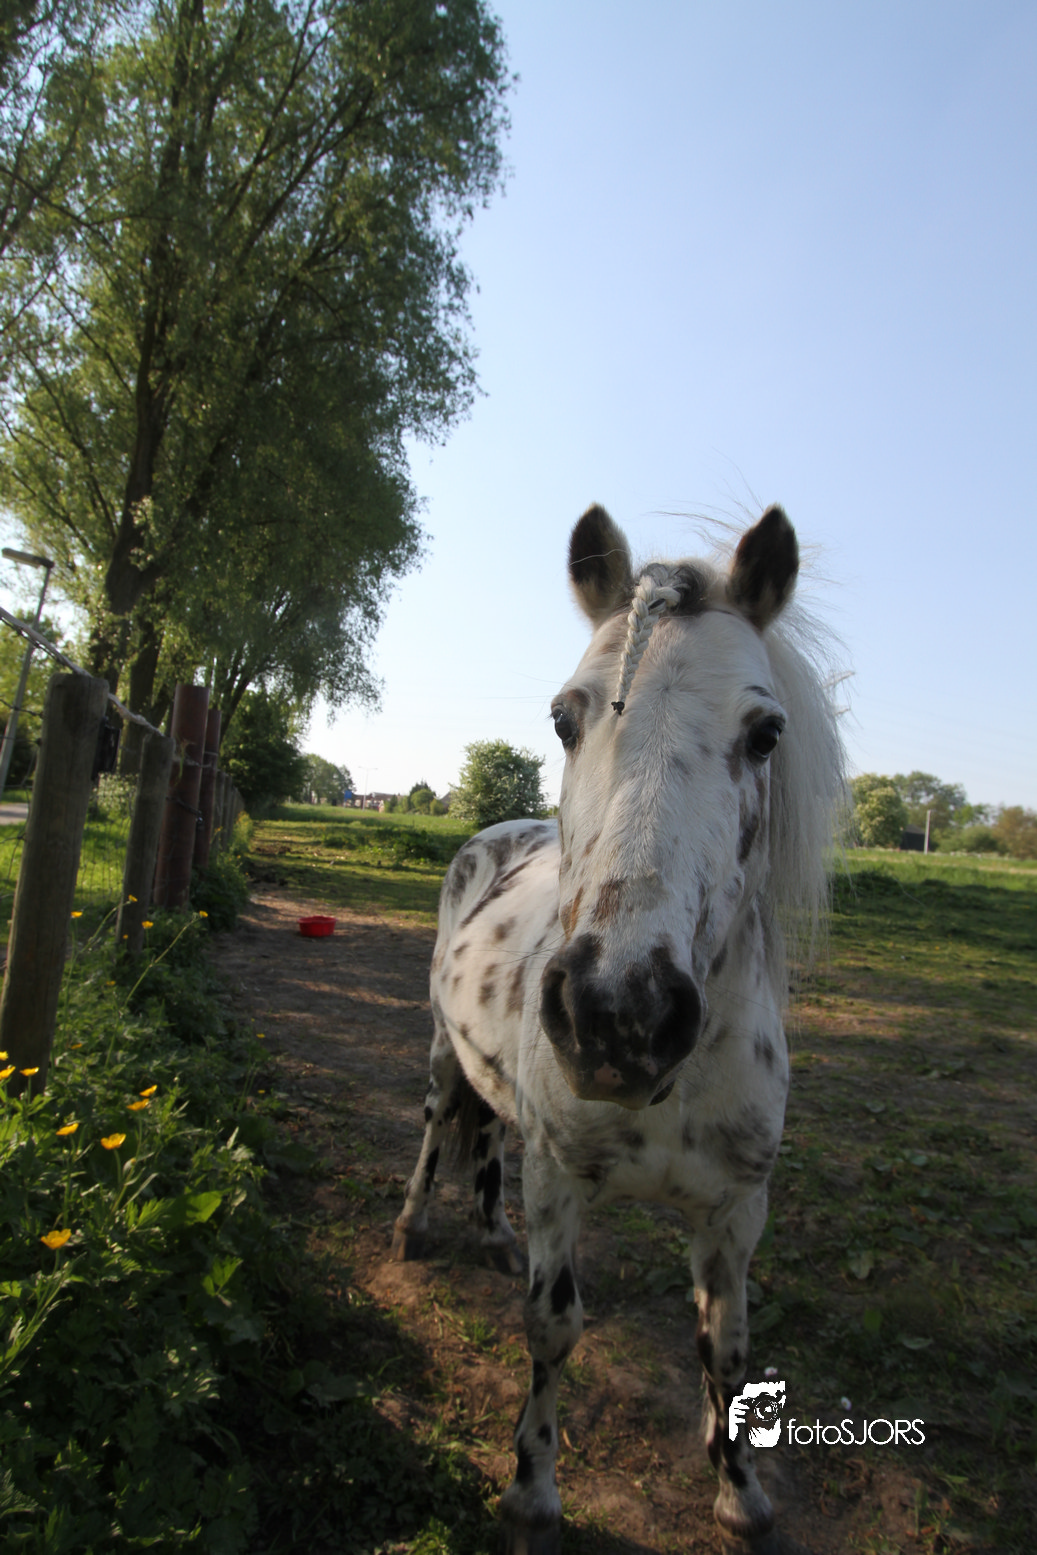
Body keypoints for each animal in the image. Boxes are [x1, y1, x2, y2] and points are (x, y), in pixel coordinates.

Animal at [393, 501, 846, 1553]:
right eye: (565, 718)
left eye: (767, 732)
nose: (617, 1013)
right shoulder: (563, 1179)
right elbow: (552, 1327)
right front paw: (531, 1491)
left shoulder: (735, 1212)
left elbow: (726, 1350)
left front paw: (739, 1490)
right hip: (442, 1057)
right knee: (439, 1128)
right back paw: (414, 1225)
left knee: (488, 1139)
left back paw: (491, 1232)